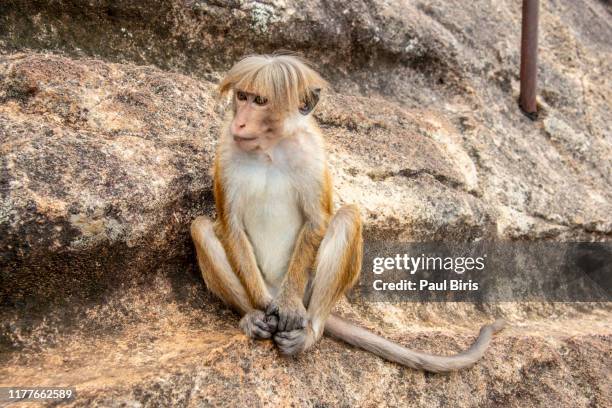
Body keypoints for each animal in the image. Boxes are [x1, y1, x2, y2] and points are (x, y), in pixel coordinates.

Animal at [189, 52, 504, 372]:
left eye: (261, 101)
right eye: (242, 96)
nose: (239, 123)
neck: (270, 148)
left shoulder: (312, 151)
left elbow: (318, 220)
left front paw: (288, 306)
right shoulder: (226, 149)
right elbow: (231, 225)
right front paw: (262, 306)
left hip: (307, 287)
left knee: (347, 218)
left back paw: (309, 331)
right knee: (200, 227)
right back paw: (254, 317)